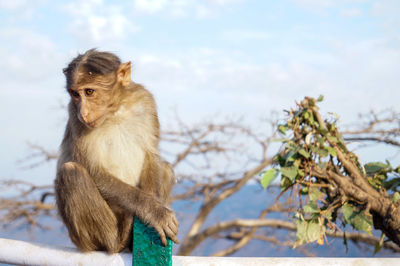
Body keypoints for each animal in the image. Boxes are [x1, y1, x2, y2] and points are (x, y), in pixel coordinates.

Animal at [54, 48, 178, 254]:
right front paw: (155, 212)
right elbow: (93, 170)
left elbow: (151, 155)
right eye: (75, 94)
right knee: (71, 172)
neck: (115, 110)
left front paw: (154, 209)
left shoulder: (146, 100)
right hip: (90, 237)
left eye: (89, 91)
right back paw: (118, 240)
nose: (83, 113)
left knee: (166, 168)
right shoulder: (73, 113)